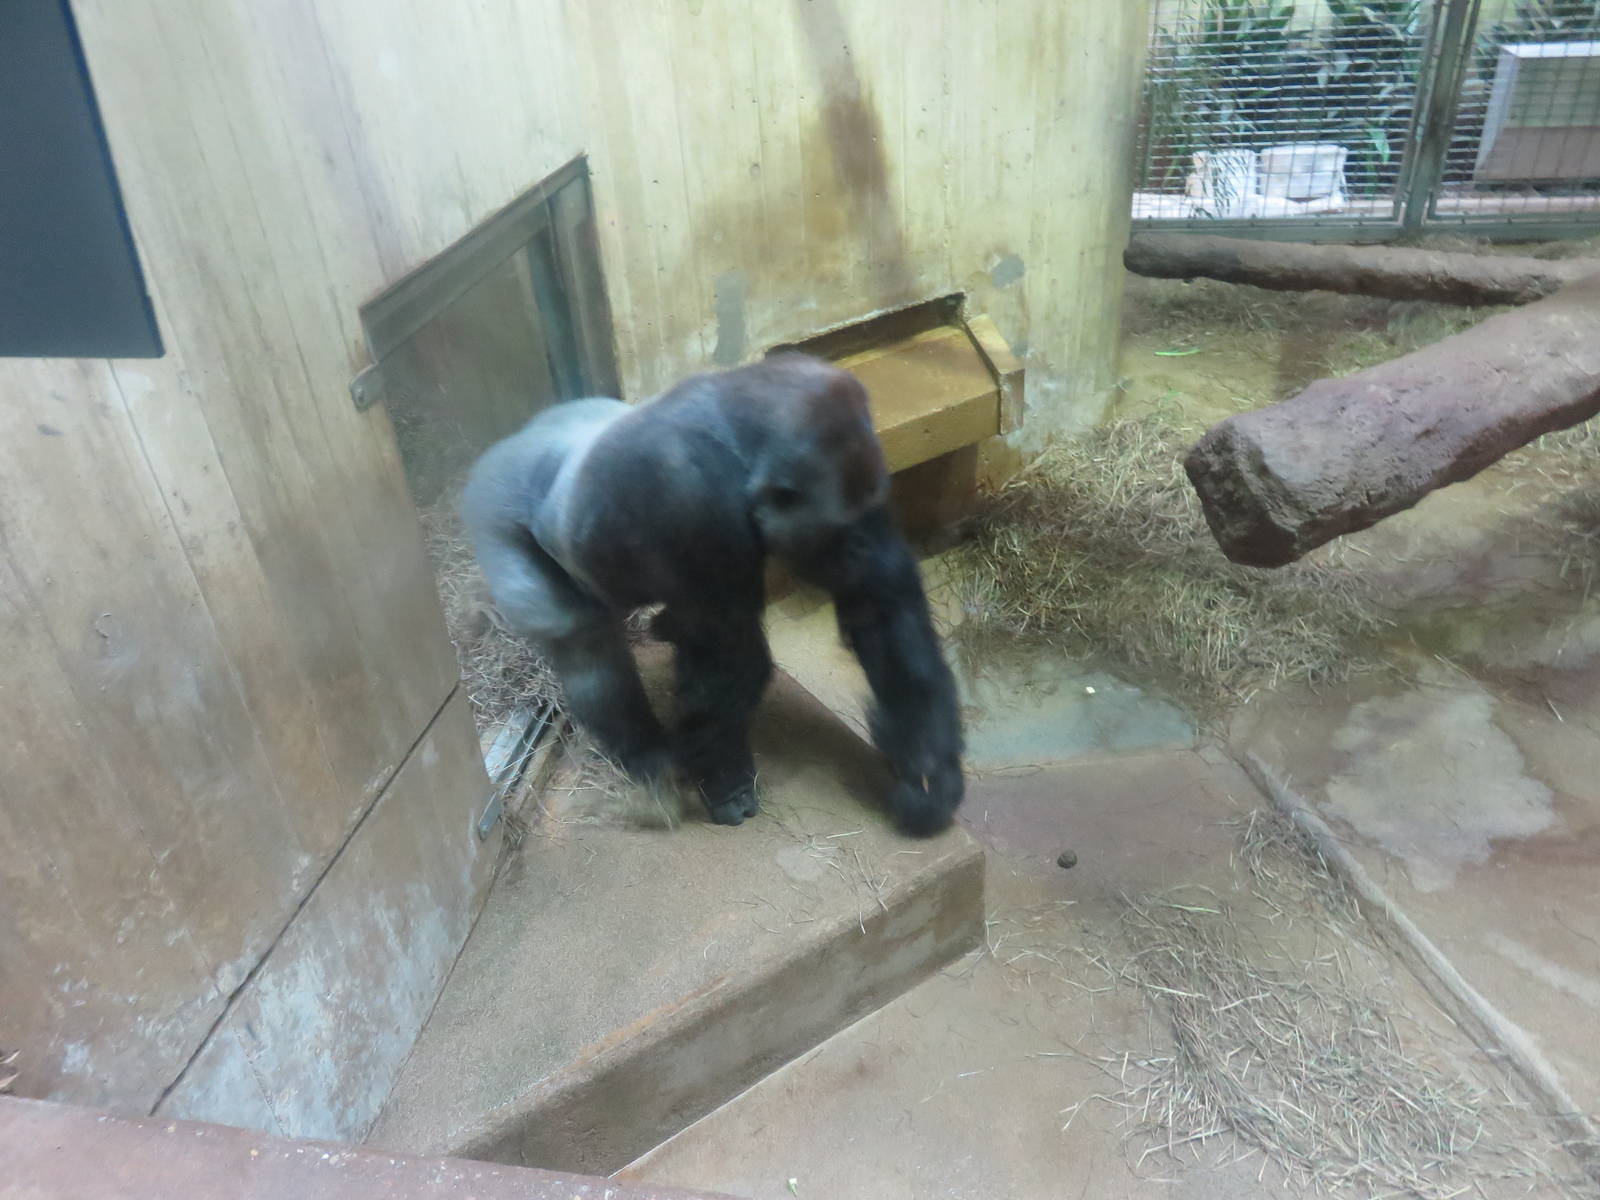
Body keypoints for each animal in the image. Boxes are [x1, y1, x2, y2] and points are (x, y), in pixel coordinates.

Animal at [460, 352, 963, 836]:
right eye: (836, 533)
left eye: (864, 514)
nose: (858, 552)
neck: (740, 442)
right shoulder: (694, 499)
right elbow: (729, 655)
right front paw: (727, 779)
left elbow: (883, 602)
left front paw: (928, 770)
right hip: (490, 512)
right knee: (585, 647)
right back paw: (643, 754)